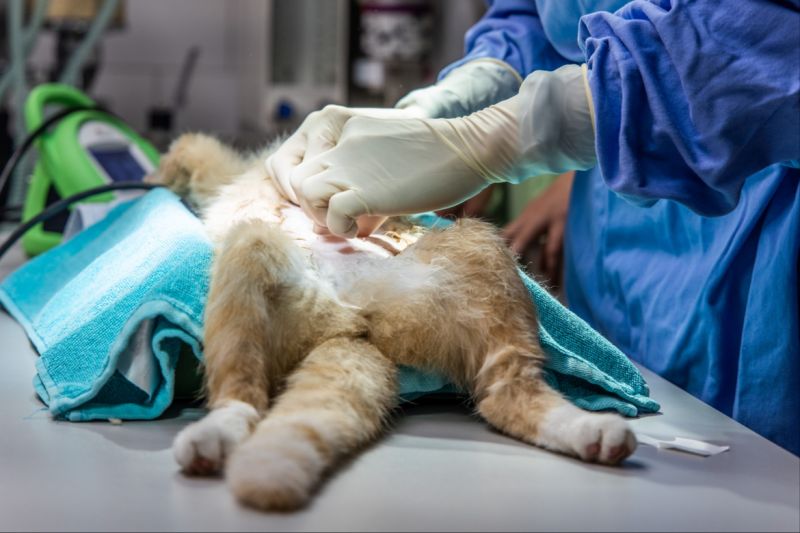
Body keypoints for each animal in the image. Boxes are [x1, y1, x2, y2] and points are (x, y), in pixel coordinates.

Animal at [150, 131, 636, 510]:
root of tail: (357, 321)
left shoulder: (219, 167)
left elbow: (189, 148)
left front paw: (157, 175)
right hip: (474, 251)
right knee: (503, 393)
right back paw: (591, 433)